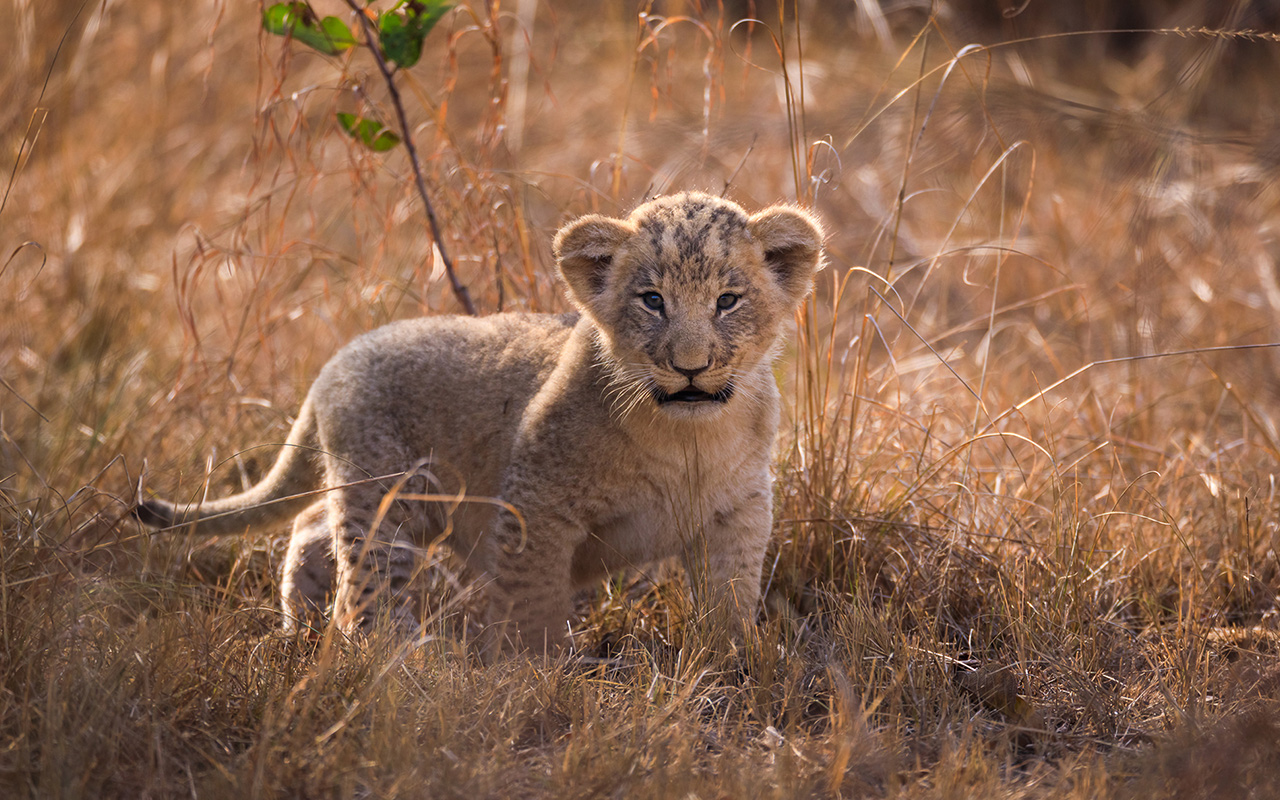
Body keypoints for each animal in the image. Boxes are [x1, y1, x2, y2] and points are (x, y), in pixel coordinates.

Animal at [135, 192, 824, 654]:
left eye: (727, 301)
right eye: (652, 300)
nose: (690, 366)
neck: (686, 437)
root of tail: (337, 358)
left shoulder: (739, 509)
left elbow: (731, 595)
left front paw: (728, 664)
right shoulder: (536, 502)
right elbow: (533, 598)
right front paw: (535, 673)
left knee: (308, 529)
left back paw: (299, 627)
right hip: (387, 493)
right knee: (363, 588)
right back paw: (400, 659)